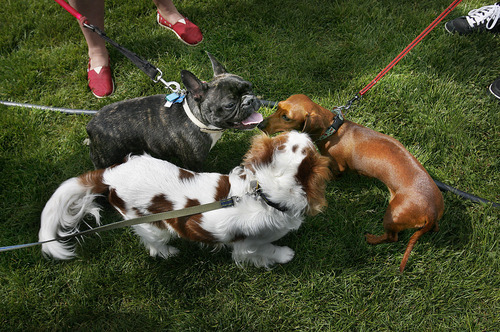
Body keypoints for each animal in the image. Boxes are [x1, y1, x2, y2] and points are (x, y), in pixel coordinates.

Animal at [85, 53, 262, 171]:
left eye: (250, 87)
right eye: (230, 104)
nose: (250, 100)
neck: (197, 120)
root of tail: (91, 125)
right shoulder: (193, 163)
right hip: (107, 159)